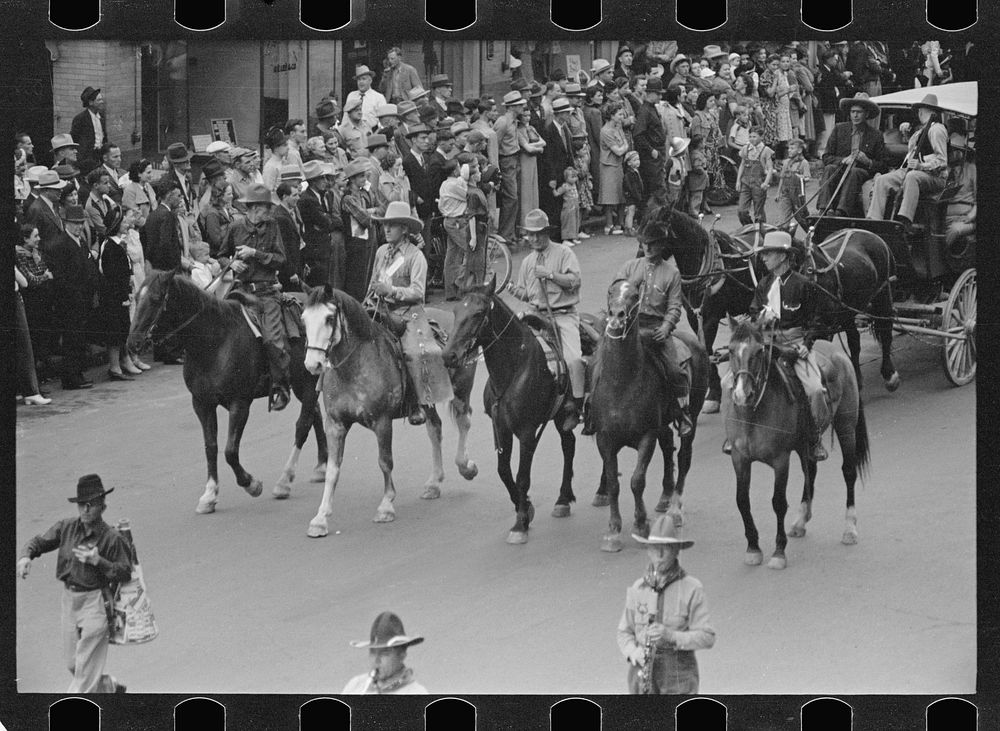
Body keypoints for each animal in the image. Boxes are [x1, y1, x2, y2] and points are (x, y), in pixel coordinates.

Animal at [127, 268, 326, 516]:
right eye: (136, 298)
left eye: (155, 299)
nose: (133, 343)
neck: (214, 342)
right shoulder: (201, 403)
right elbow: (210, 447)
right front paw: (210, 495)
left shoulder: (239, 403)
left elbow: (230, 451)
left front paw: (251, 484)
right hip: (302, 385)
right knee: (315, 415)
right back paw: (321, 466)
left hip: (307, 382)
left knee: (303, 425)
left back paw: (284, 482)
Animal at [298, 286, 478, 536]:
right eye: (304, 319)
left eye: (329, 318)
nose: (312, 364)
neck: (355, 366)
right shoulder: (335, 424)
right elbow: (332, 470)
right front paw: (320, 518)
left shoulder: (382, 422)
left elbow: (385, 462)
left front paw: (386, 506)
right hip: (428, 400)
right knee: (436, 429)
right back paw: (433, 483)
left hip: (461, 389)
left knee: (464, 421)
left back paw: (466, 467)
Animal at [442, 278, 584, 548]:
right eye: (455, 312)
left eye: (478, 313)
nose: (449, 355)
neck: (514, 368)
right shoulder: (500, 427)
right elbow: (503, 471)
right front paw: (525, 507)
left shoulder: (527, 432)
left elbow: (521, 476)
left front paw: (520, 524)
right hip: (560, 417)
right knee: (569, 445)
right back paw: (563, 499)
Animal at [592, 278, 712, 552]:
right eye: (611, 292)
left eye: (634, 295)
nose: (616, 315)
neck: (622, 383)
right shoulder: (605, 439)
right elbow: (613, 483)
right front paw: (613, 531)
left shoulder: (647, 435)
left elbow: (637, 481)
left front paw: (640, 525)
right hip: (663, 424)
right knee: (668, 445)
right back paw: (665, 498)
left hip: (691, 416)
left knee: (684, 455)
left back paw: (675, 508)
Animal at [724, 320, 872, 572]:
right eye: (732, 351)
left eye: (759, 351)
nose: (742, 394)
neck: (753, 414)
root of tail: (838, 352)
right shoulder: (739, 458)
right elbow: (742, 501)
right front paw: (753, 548)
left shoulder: (780, 460)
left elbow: (778, 502)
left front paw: (778, 552)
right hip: (806, 443)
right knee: (810, 471)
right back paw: (801, 520)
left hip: (846, 427)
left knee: (848, 472)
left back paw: (849, 528)